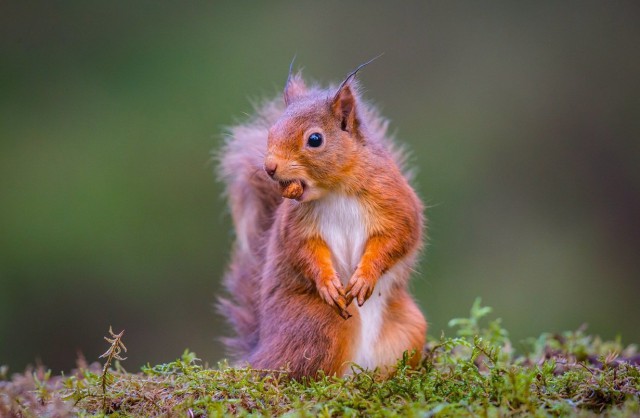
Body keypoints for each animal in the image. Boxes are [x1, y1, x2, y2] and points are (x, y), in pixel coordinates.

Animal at [218, 59, 428, 378]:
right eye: (271, 131)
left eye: (315, 139)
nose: (269, 167)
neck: (336, 189)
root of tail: (261, 349)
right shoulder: (295, 225)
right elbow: (303, 250)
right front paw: (327, 283)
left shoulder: (395, 201)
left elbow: (397, 236)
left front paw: (365, 277)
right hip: (321, 323)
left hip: (409, 327)